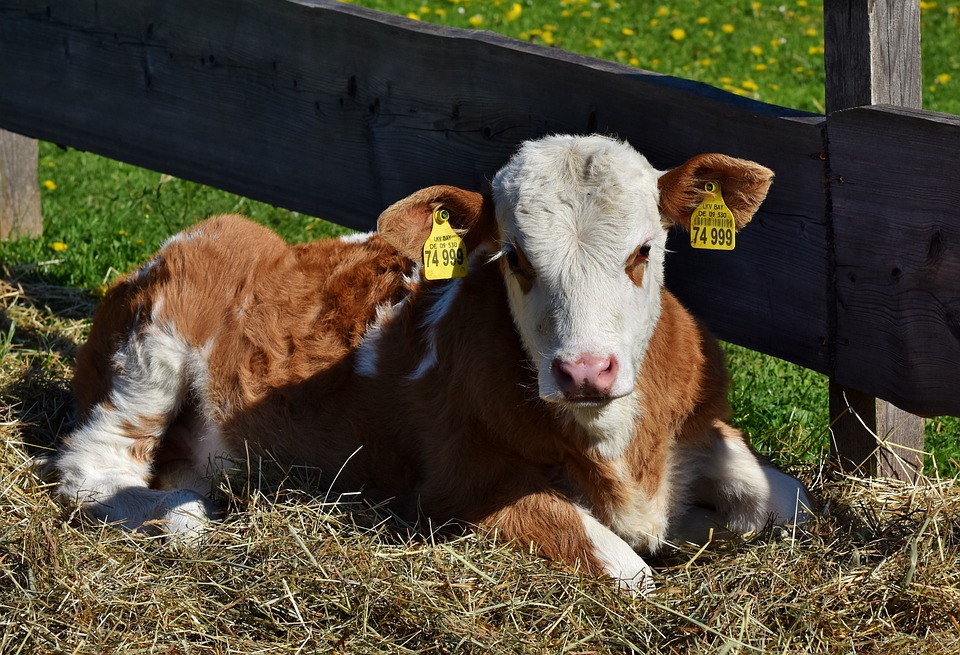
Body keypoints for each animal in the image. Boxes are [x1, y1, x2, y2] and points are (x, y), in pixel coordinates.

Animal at [55, 135, 810, 593]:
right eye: (515, 258)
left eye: (645, 249)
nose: (584, 371)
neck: (623, 452)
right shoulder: (460, 486)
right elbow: (627, 569)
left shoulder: (703, 432)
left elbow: (783, 501)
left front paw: (700, 523)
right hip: (152, 354)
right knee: (91, 467)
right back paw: (182, 519)